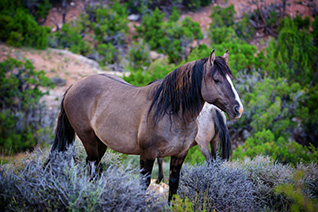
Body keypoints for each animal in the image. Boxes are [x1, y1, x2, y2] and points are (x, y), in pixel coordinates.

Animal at [46, 49, 242, 202]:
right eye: (216, 79)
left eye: (230, 78)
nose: (238, 108)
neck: (171, 111)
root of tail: (73, 86)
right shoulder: (147, 154)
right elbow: (144, 184)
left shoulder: (180, 155)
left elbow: (173, 186)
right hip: (88, 139)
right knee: (94, 167)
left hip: (100, 142)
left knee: (94, 167)